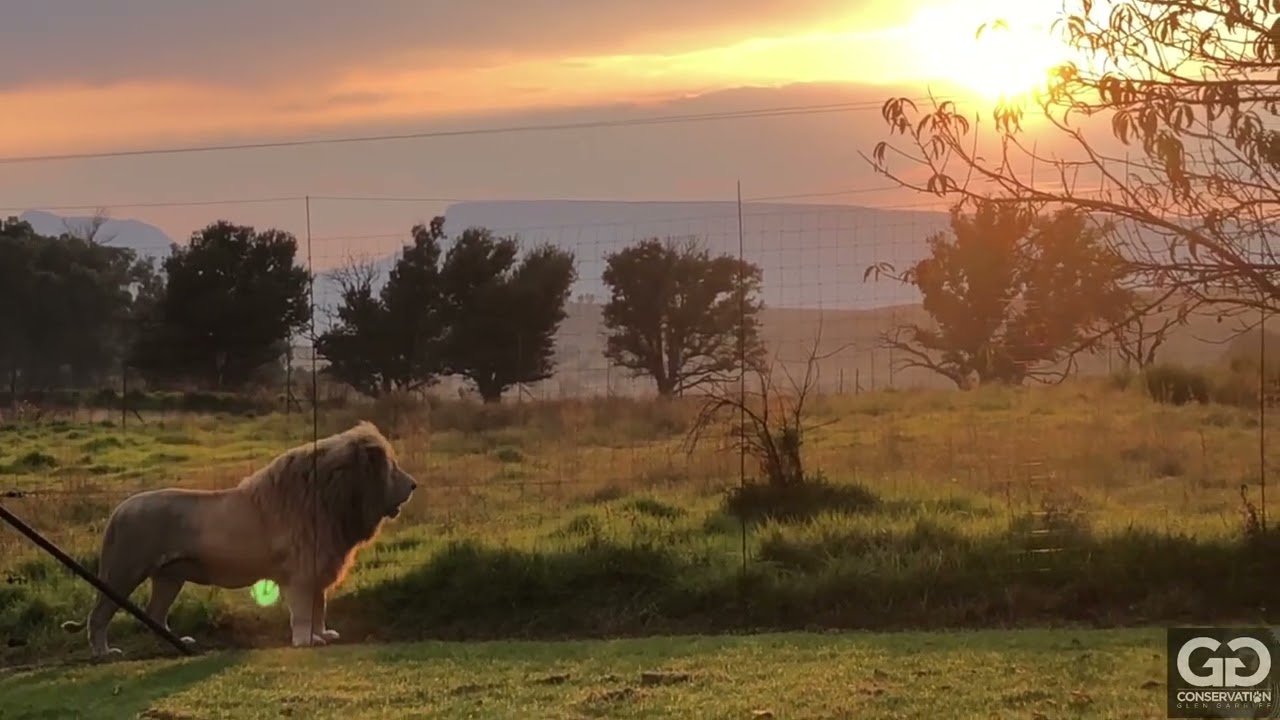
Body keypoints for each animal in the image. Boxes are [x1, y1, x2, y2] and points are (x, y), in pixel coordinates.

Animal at [60, 421, 418, 658]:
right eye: (393, 468)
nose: (414, 485)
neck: (335, 500)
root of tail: (118, 510)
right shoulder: (301, 572)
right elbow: (304, 611)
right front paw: (306, 641)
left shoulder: (319, 567)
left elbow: (320, 607)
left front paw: (323, 635)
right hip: (123, 573)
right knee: (99, 616)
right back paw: (104, 652)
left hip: (169, 577)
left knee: (155, 614)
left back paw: (178, 644)